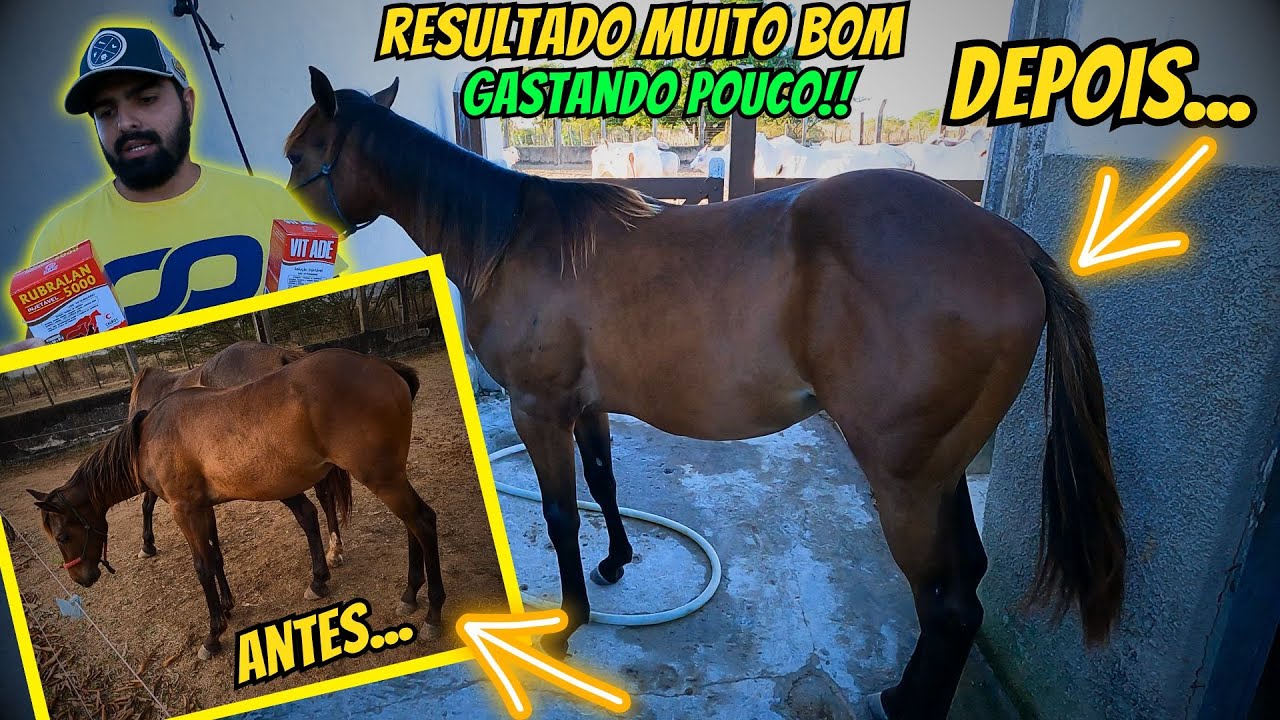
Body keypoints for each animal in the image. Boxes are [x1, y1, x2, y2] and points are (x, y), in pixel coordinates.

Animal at [283, 67, 1125, 719]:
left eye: (298, 154)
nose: (295, 247)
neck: (514, 240)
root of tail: (1008, 241)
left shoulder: (538, 408)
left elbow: (561, 514)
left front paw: (567, 624)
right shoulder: (586, 406)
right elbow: (603, 484)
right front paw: (617, 562)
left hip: (906, 483)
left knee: (948, 605)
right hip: (940, 476)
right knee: (967, 583)